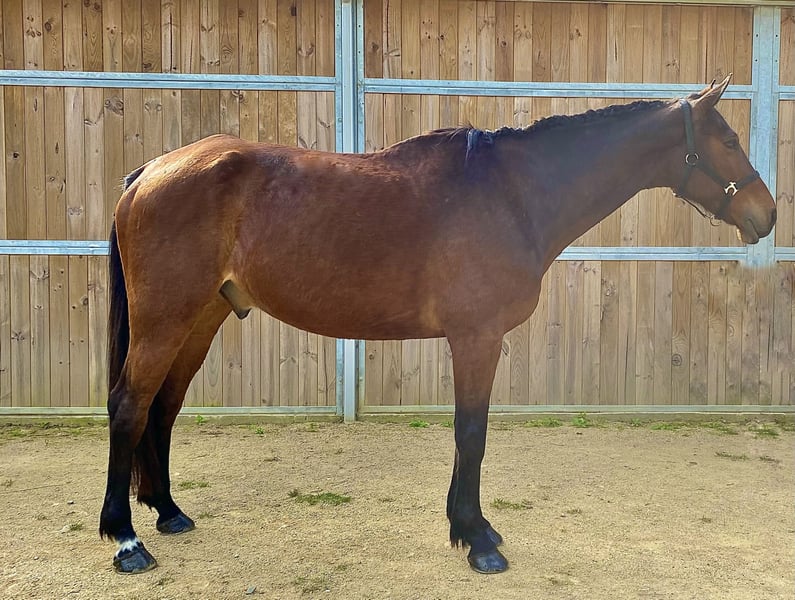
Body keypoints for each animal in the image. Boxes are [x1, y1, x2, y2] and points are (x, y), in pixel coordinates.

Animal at [99, 75, 775, 575]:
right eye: (729, 140)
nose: (766, 214)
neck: (512, 195)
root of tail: (149, 172)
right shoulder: (477, 338)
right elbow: (471, 433)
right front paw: (476, 540)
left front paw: (472, 527)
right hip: (165, 319)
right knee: (130, 405)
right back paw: (127, 541)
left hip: (202, 316)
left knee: (163, 407)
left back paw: (168, 512)